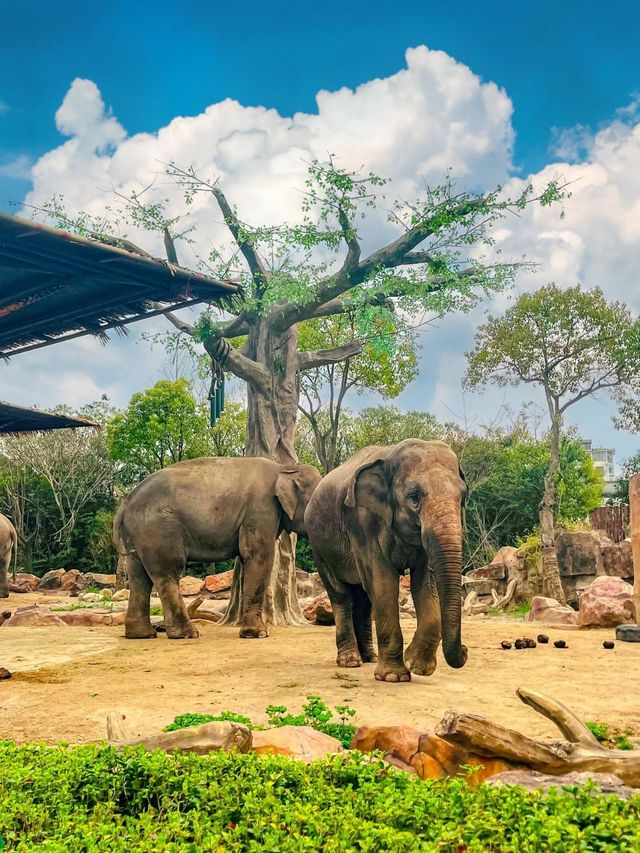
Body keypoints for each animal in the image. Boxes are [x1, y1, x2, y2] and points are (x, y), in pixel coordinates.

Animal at [114, 460, 320, 640]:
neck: (284, 468)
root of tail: (125, 504)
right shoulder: (261, 509)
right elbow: (259, 556)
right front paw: (258, 635)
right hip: (159, 529)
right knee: (167, 572)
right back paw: (187, 634)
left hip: (140, 534)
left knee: (139, 577)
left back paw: (141, 635)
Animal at [304, 442, 464, 684]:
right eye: (414, 497)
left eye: (463, 496)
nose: (465, 651)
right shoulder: (361, 521)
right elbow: (383, 581)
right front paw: (393, 676)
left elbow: (425, 583)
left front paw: (418, 666)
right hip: (319, 548)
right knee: (341, 594)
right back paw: (350, 661)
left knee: (363, 598)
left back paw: (369, 657)